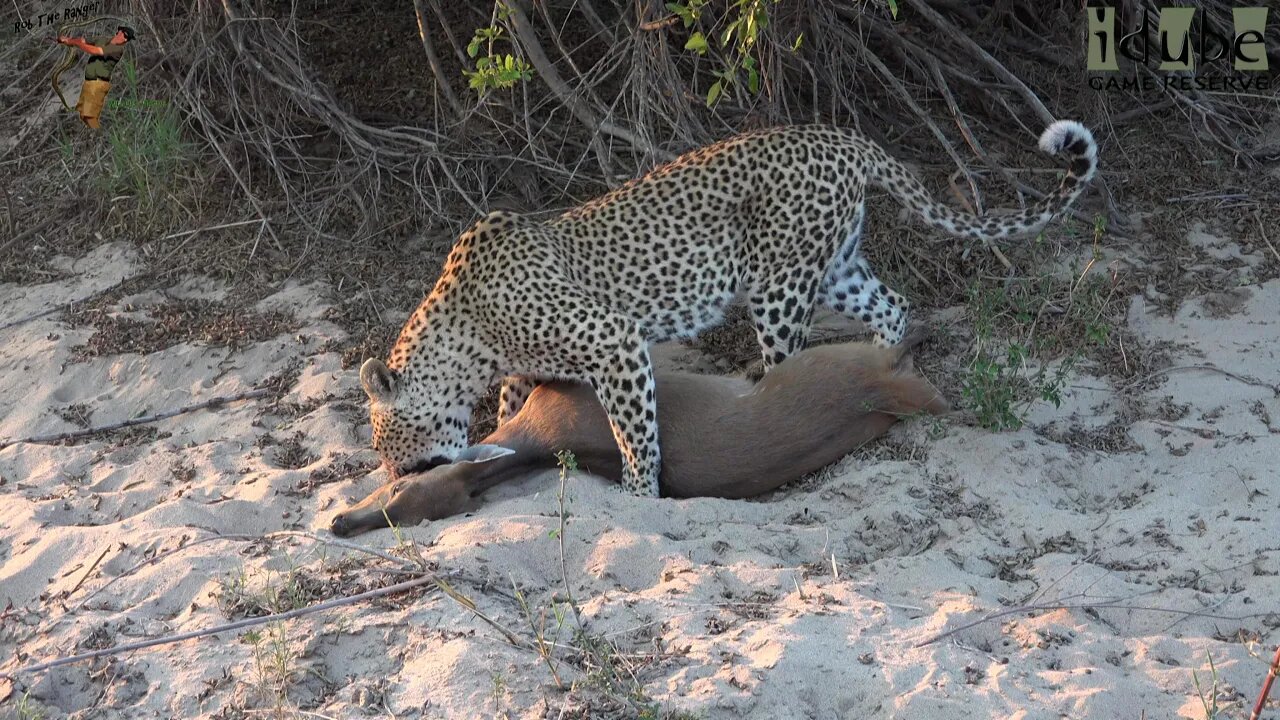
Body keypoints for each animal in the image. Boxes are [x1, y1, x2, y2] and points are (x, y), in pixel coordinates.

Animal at [360, 120, 1100, 497]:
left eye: (391, 446)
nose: (399, 478)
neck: (467, 336)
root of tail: (840, 136)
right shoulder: (529, 365)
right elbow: (518, 410)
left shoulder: (614, 341)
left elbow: (636, 435)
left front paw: (638, 498)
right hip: (834, 269)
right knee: (893, 309)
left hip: (779, 288)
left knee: (789, 369)